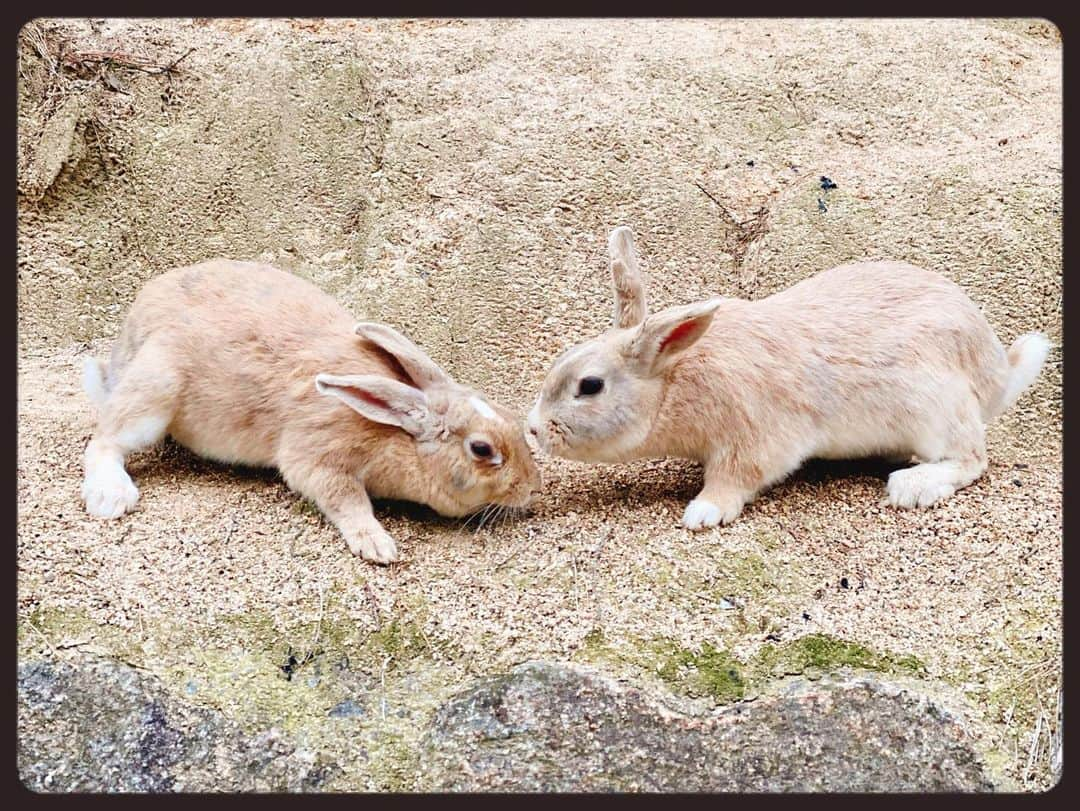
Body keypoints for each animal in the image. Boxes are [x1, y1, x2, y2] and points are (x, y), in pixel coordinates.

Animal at [79, 260, 544, 565]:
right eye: (482, 450)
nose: (532, 488)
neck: (394, 430)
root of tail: (133, 327)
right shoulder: (319, 456)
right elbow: (347, 500)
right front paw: (378, 547)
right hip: (154, 391)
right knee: (104, 441)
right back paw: (111, 498)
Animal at [527, 226, 1049, 533]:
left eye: (589, 386)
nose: (533, 429)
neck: (677, 380)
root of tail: (995, 374)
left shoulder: (751, 440)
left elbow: (733, 479)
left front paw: (702, 514)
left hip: (938, 411)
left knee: (972, 460)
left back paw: (911, 486)